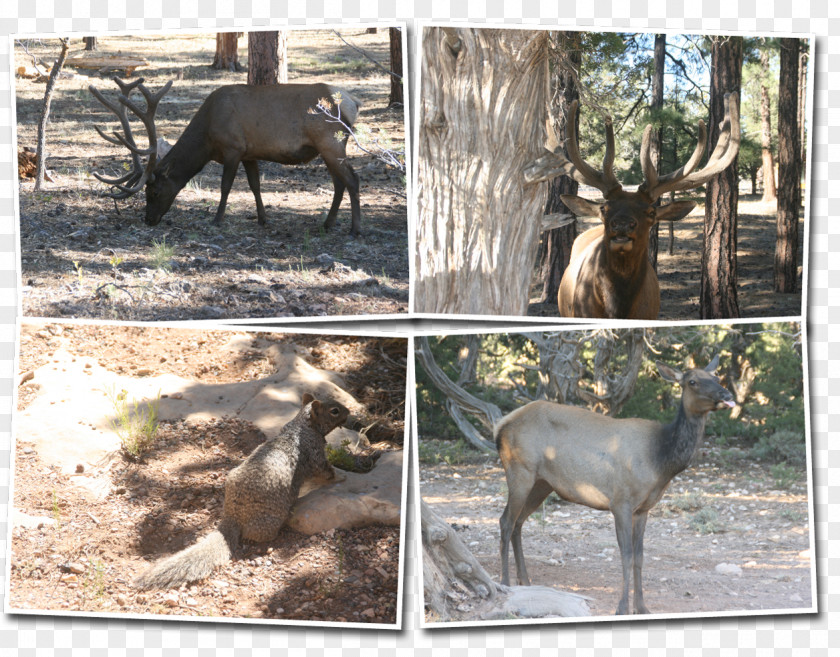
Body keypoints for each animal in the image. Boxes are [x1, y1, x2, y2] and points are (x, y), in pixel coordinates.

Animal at [89, 77, 364, 236]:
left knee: (352, 179)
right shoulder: (250, 152)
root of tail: (354, 102)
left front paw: (217, 219)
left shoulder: (233, 148)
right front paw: (263, 219)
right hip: (328, 147)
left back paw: (355, 229)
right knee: (339, 182)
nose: (148, 220)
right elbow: (255, 186)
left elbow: (225, 186)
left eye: (153, 192)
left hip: (331, 141)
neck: (208, 139)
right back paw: (328, 224)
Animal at [135, 392, 348, 588]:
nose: (349, 412)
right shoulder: (315, 454)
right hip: (270, 519)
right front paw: (342, 477)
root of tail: (233, 516)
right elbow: (325, 472)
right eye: (334, 411)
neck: (301, 425)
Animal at [498, 356, 736, 612]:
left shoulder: (643, 508)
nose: (726, 394)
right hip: (519, 470)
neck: (660, 460)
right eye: (692, 381)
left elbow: (640, 557)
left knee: (518, 523)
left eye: (715, 376)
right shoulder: (620, 501)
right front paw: (622, 607)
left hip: (542, 483)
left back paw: (525, 581)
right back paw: (505, 583)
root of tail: (499, 426)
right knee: (505, 521)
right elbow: (626, 556)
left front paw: (642, 607)